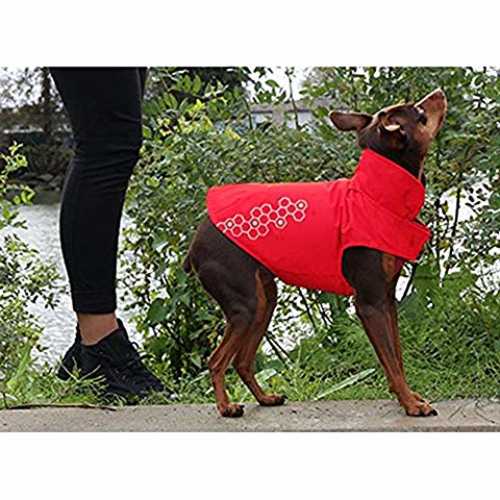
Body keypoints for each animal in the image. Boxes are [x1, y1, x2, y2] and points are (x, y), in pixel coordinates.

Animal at [184, 89, 447, 418]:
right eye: (419, 113)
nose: (439, 93)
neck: (375, 196)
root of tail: (195, 244)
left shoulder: (388, 299)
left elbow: (396, 358)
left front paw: (408, 398)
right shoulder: (369, 303)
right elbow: (391, 362)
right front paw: (410, 405)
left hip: (264, 300)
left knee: (242, 360)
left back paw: (265, 398)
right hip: (244, 305)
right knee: (217, 360)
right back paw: (225, 407)